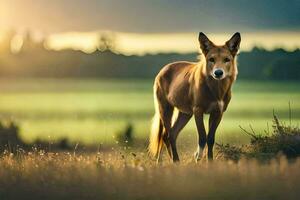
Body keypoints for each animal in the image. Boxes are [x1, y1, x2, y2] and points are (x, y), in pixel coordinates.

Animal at [149, 32, 240, 162]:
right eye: (211, 59)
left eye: (227, 60)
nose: (218, 72)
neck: (215, 90)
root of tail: (162, 70)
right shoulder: (198, 110)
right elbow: (202, 137)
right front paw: (198, 158)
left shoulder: (218, 112)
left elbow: (210, 138)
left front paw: (210, 162)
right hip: (165, 109)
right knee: (166, 135)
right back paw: (170, 161)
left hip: (185, 113)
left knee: (171, 135)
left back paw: (175, 162)